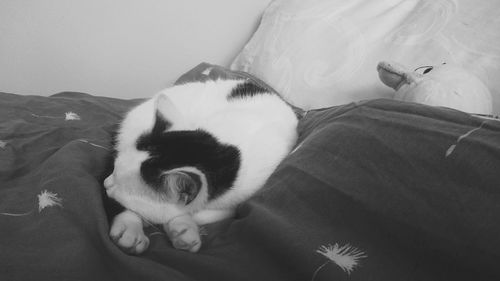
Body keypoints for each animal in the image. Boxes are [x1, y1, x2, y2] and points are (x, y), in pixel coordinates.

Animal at [102, 77, 296, 253]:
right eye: (114, 170)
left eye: (119, 186)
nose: (106, 183)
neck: (228, 155)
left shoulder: (239, 198)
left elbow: (198, 213)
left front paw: (180, 225)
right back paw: (131, 229)